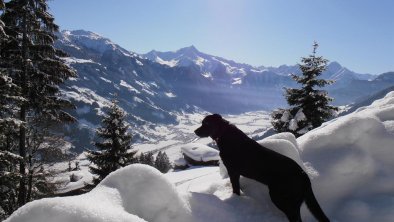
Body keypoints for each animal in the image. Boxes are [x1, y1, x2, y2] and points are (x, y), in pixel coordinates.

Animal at [195, 114, 330, 222]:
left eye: (206, 124)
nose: (195, 131)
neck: (224, 133)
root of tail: (303, 175)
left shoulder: (233, 171)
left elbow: (235, 188)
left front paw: (235, 199)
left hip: (281, 198)